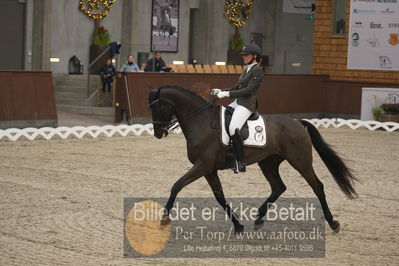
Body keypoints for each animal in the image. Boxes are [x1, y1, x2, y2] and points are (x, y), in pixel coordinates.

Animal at [148, 85, 358, 233]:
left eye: (157, 107)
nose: (158, 133)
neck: (201, 122)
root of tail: (298, 123)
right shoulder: (209, 169)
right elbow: (219, 197)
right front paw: (238, 226)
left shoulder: (202, 166)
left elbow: (177, 185)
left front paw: (164, 219)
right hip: (268, 163)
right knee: (278, 187)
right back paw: (258, 219)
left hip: (300, 161)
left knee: (317, 186)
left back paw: (333, 223)